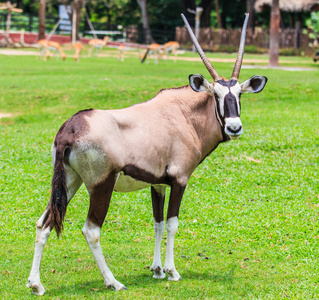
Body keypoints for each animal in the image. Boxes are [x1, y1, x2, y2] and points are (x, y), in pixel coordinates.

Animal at [26, 12, 268, 294]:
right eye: (216, 94)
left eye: (239, 94)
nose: (234, 127)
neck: (185, 116)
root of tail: (70, 129)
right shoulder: (179, 180)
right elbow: (172, 223)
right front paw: (172, 271)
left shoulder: (158, 184)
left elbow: (158, 223)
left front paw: (157, 270)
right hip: (100, 185)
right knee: (91, 230)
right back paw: (113, 282)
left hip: (69, 182)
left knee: (44, 224)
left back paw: (36, 284)